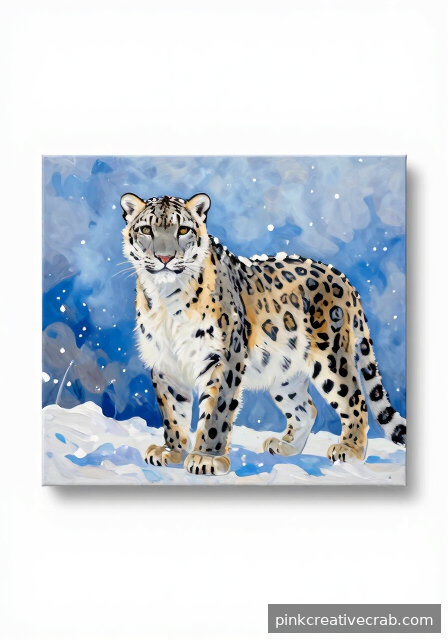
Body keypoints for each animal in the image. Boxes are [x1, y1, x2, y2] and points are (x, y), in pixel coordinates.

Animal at [121, 191, 406, 476]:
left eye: (183, 230)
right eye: (146, 229)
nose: (165, 258)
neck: (167, 299)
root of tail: (343, 279)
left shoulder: (223, 360)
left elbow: (216, 413)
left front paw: (206, 458)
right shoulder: (165, 363)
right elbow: (172, 412)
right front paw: (171, 451)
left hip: (331, 358)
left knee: (354, 400)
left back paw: (349, 450)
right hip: (285, 374)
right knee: (307, 409)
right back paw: (285, 446)